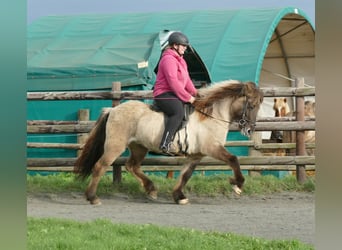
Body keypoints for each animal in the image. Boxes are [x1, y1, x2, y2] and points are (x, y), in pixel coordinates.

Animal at [73, 80, 264, 205]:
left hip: (139, 147)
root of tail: (112, 110)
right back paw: (92, 197)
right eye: (252, 106)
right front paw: (237, 184)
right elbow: (233, 159)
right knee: (100, 167)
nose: (250, 130)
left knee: (131, 166)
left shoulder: (196, 155)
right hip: (115, 146)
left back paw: (151, 189)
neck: (211, 116)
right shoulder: (212, 148)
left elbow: (185, 175)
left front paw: (179, 196)